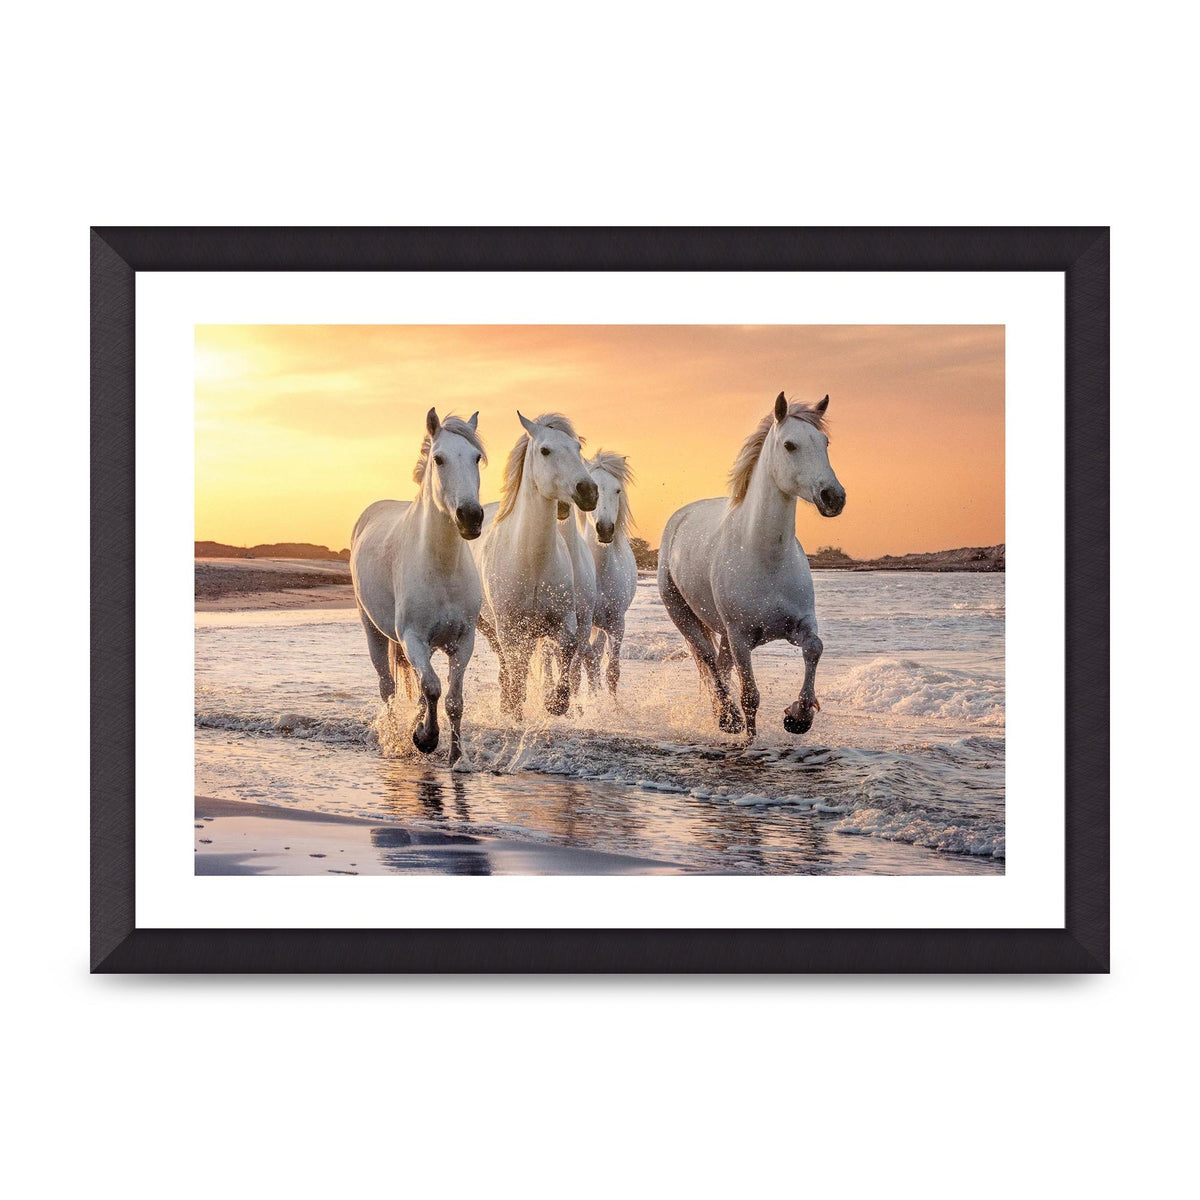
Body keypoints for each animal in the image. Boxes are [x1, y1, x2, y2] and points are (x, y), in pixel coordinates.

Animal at [350, 409, 486, 764]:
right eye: (439, 459)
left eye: (476, 458)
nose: (470, 517)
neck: (441, 568)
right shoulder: (412, 638)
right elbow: (433, 688)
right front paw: (425, 738)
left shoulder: (463, 641)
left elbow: (452, 699)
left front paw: (456, 757)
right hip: (373, 630)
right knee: (388, 687)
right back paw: (396, 739)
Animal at [473, 412, 598, 720]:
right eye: (545, 450)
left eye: (577, 448)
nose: (588, 491)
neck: (533, 563)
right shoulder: (509, 628)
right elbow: (516, 668)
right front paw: (515, 708)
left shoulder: (564, 621)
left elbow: (568, 650)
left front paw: (556, 702)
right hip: (488, 626)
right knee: (506, 664)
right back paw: (507, 704)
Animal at [657, 392, 845, 739]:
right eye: (789, 445)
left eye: (824, 442)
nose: (833, 497)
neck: (765, 558)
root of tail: (680, 517)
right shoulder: (741, 637)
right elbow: (750, 697)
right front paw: (751, 737)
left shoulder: (799, 624)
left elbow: (814, 648)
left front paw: (798, 717)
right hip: (685, 616)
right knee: (708, 659)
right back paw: (727, 718)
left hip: (724, 634)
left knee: (720, 665)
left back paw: (721, 714)